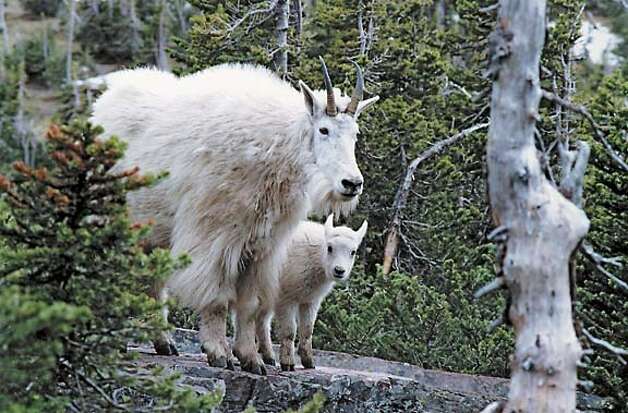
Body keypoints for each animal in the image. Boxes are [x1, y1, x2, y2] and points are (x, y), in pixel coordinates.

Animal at [92, 58, 378, 374]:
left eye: (355, 134)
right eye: (324, 130)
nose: (352, 184)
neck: (275, 148)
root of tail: (100, 106)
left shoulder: (261, 248)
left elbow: (250, 305)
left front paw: (250, 358)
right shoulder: (214, 238)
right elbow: (217, 297)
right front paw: (219, 352)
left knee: (152, 283)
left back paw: (164, 343)